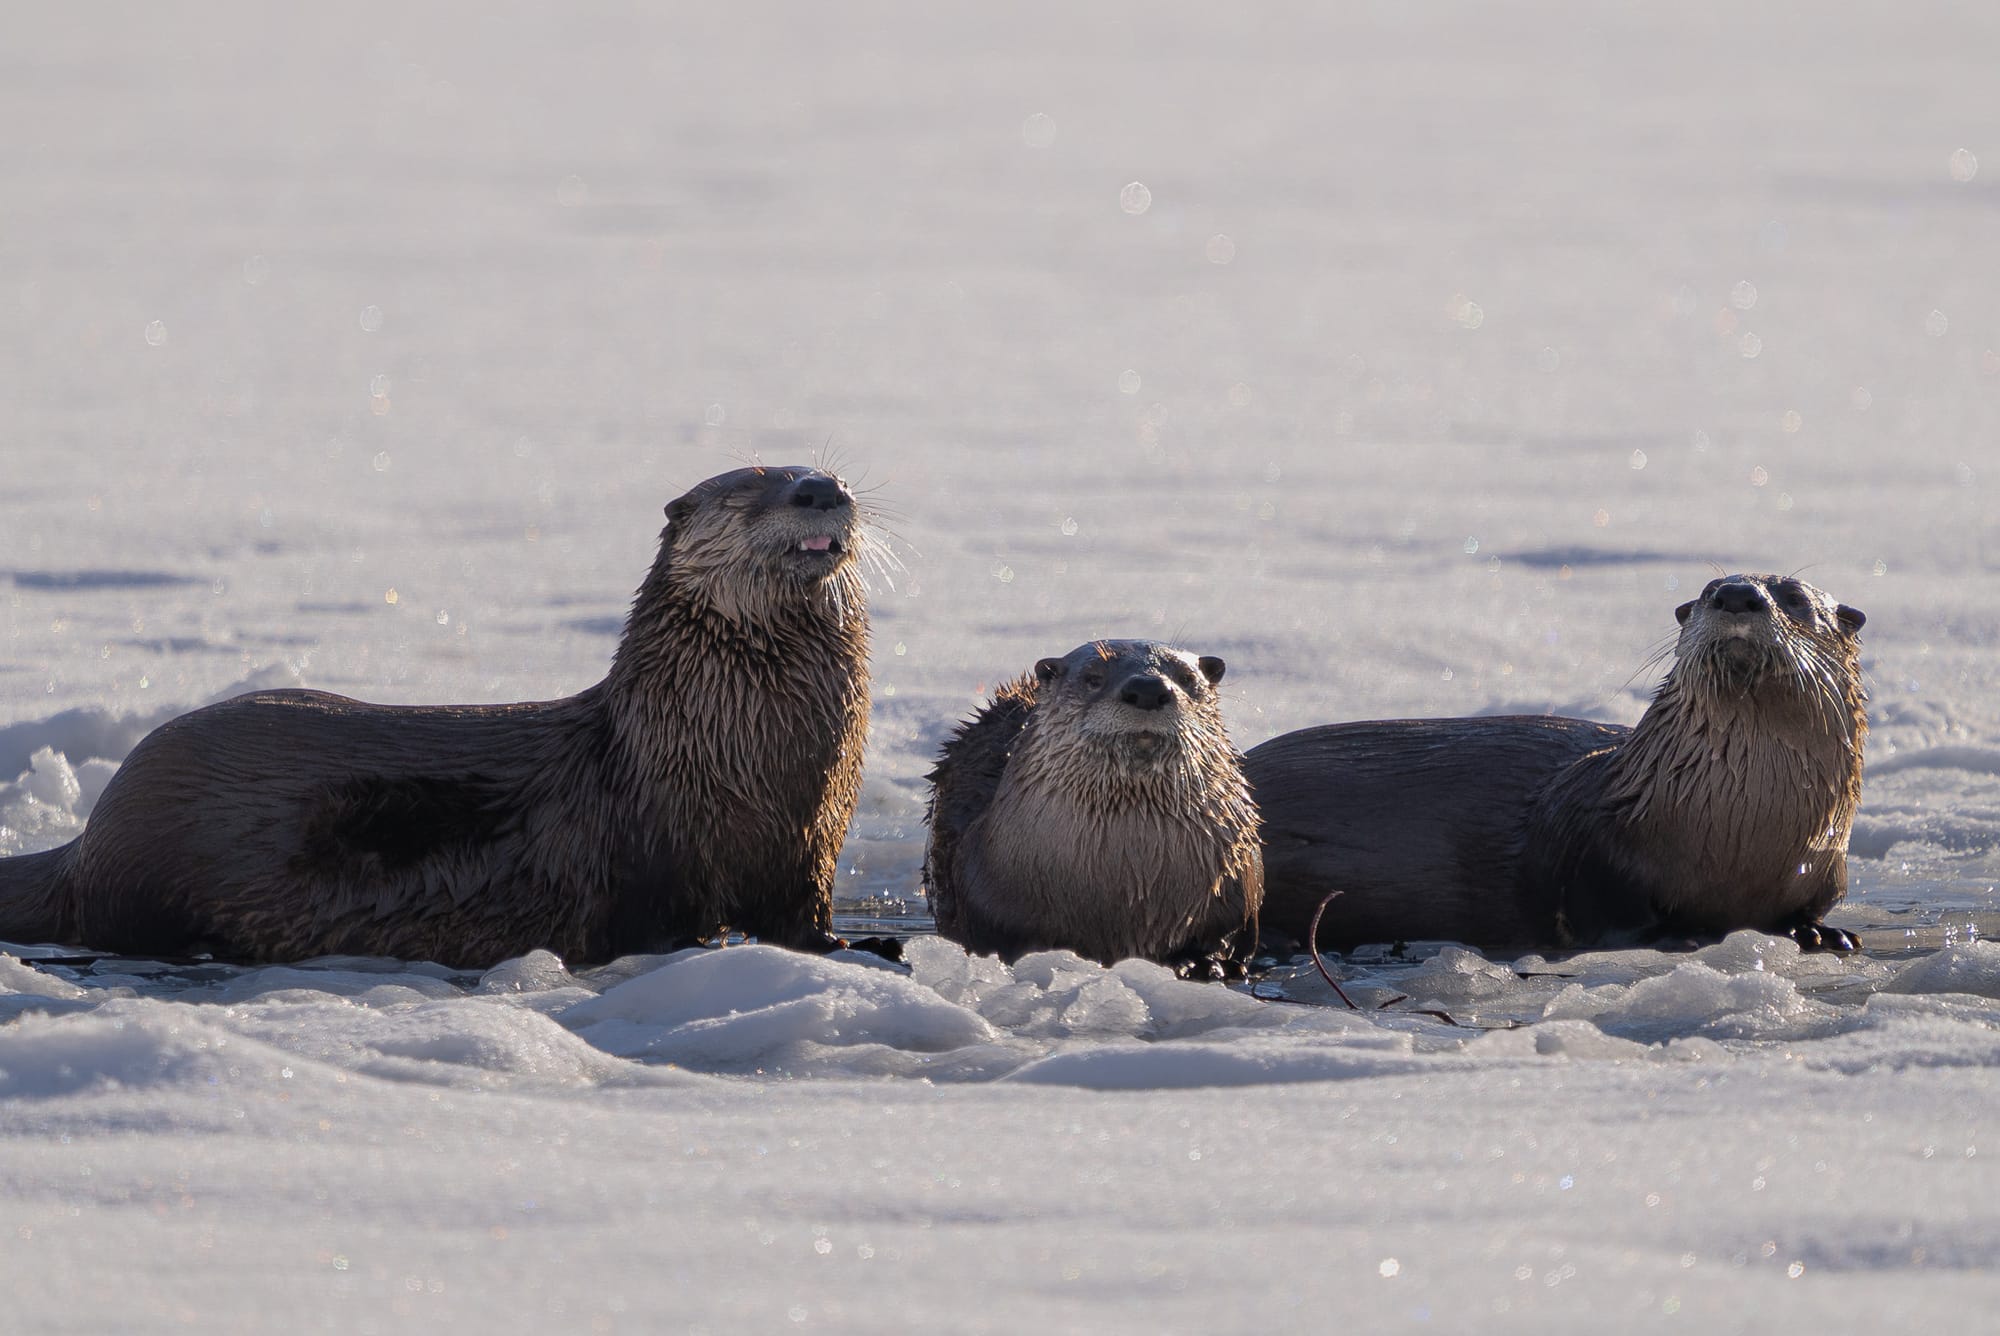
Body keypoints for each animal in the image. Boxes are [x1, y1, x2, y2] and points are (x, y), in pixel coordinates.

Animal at [0, 465, 876, 968]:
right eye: (749, 490)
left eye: (830, 472)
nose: (820, 493)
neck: (735, 751)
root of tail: (89, 840)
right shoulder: (659, 851)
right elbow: (662, 920)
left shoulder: (810, 848)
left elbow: (803, 920)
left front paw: (859, 948)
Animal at [924, 639, 1263, 978]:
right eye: (1093, 678)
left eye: (1187, 678)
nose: (1148, 688)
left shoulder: (1235, 896)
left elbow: (1224, 939)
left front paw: (1205, 963)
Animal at [1250, 573, 1868, 954]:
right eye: (1708, 589)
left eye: (1794, 596)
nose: (1738, 593)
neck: (1742, 829)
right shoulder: (1593, 846)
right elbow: (1604, 908)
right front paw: (1677, 935)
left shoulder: (1819, 867)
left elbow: (1806, 910)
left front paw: (1824, 933)